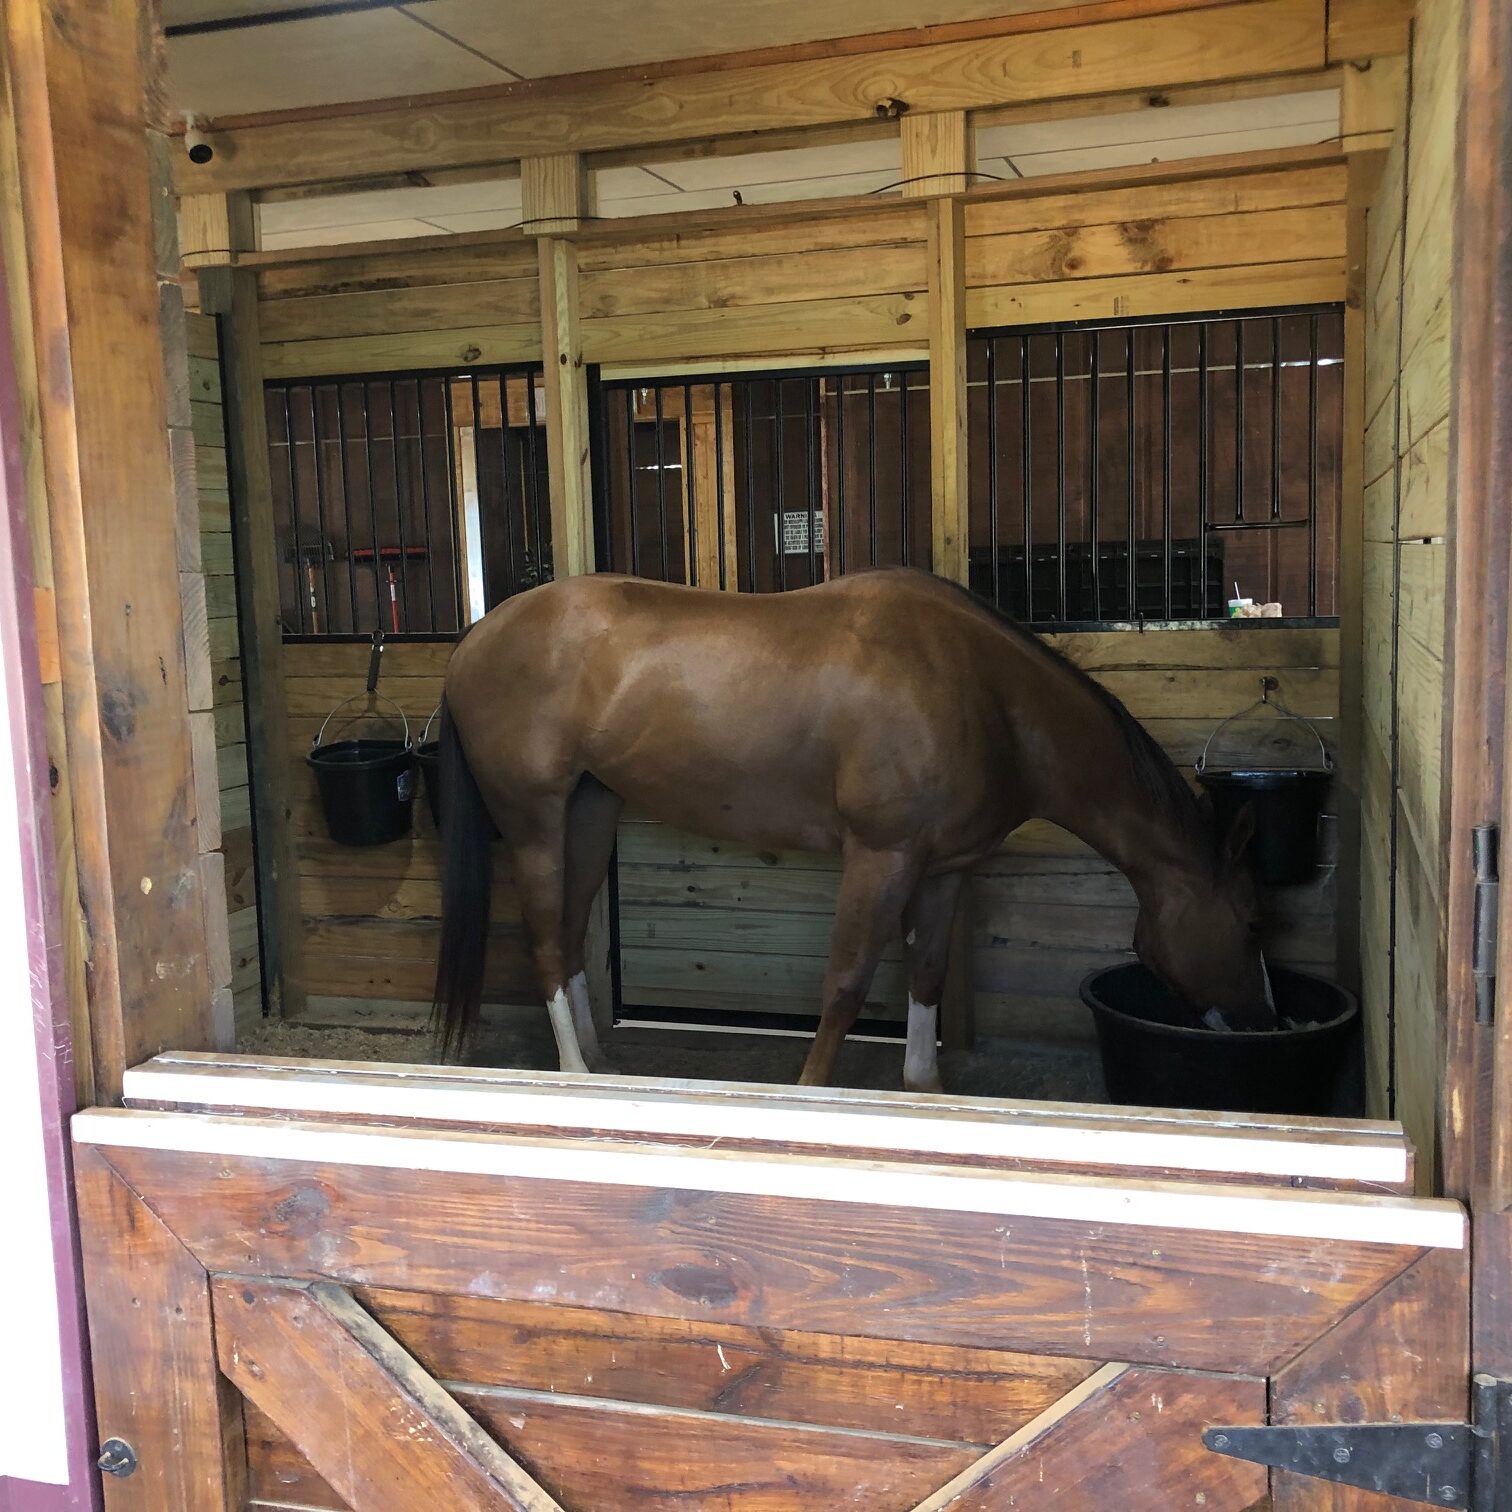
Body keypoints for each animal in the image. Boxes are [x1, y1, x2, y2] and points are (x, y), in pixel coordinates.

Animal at [438, 568, 1276, 1088]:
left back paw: (601, 1062)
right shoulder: (882, 857)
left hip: (590, 809)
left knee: (571, 930)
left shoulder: (943, 870)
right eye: (1251, 922)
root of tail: (474, 638)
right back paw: (576, 1072)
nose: (1266, 1024)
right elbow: (845, 985)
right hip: (534, 820)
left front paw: (924, 1086)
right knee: (547, 943)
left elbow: (927, 976)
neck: (987, 697)